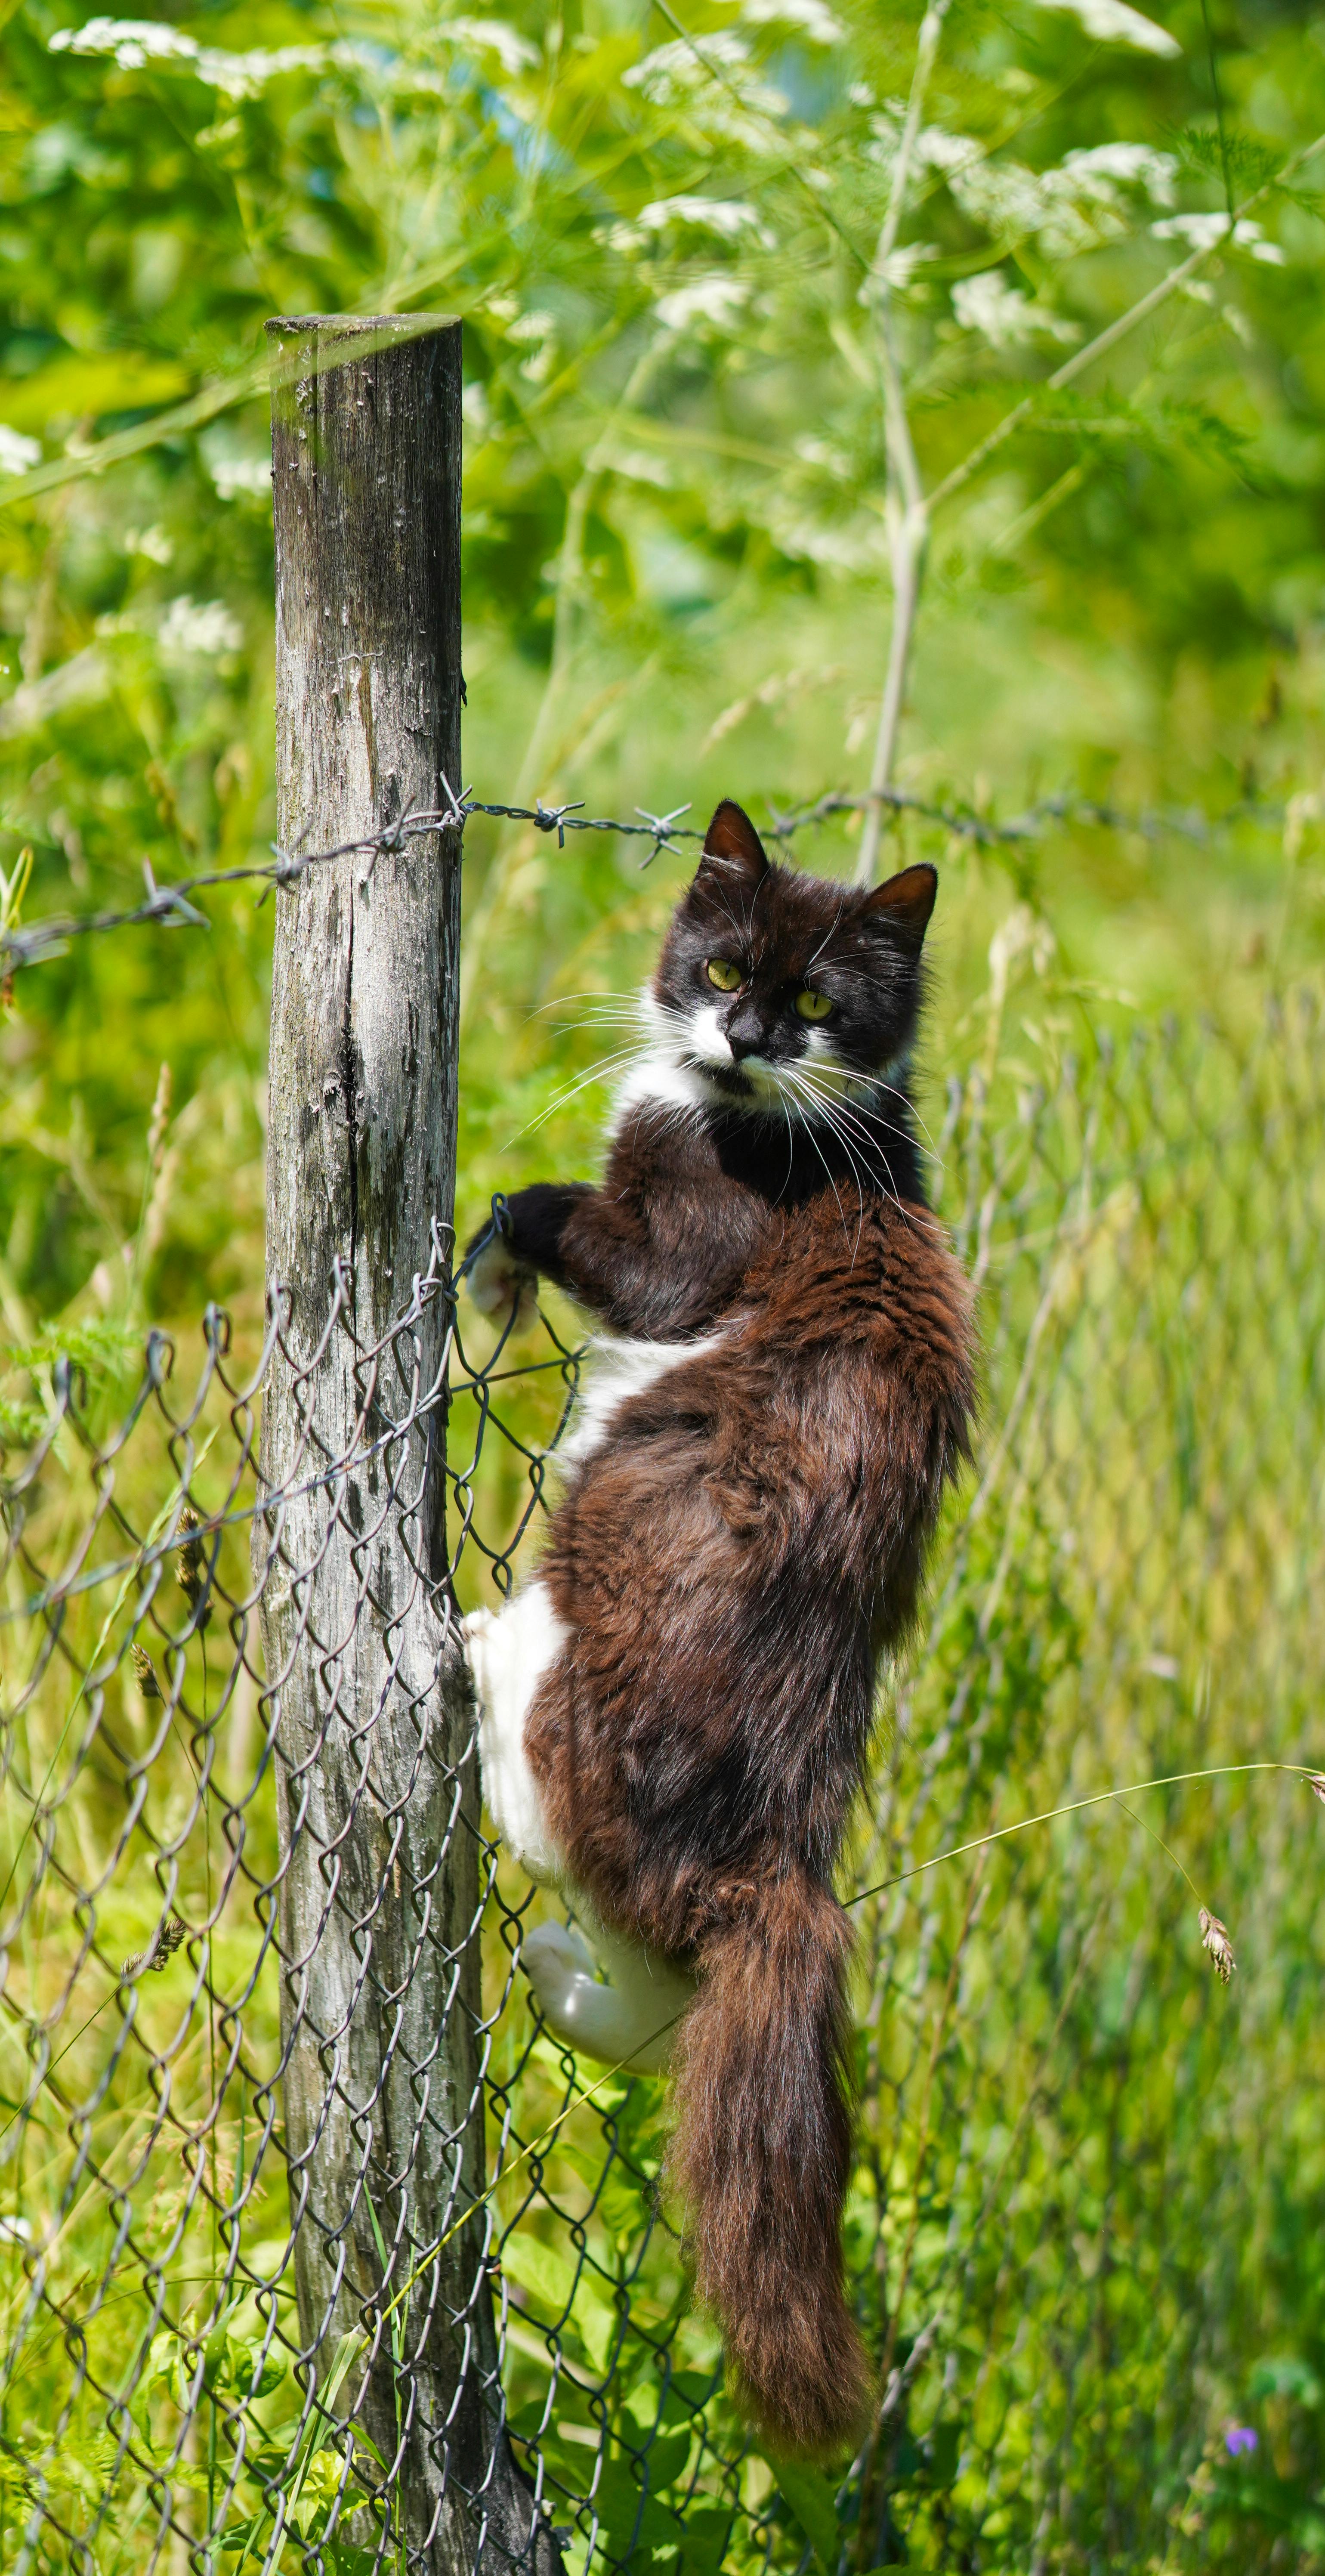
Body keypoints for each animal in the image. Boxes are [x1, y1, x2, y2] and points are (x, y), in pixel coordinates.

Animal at [461, 793, 969, 2442]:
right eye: (727, 963)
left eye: (812, 1000)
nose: (743, 1039)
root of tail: (782, 1866)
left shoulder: (689, 1247)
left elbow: (589, 1232)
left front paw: (494, 1245)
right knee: (663, 1971)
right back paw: (566, 1984)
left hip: (592, 1587)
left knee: (559, 1816)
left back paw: (466, 1656)